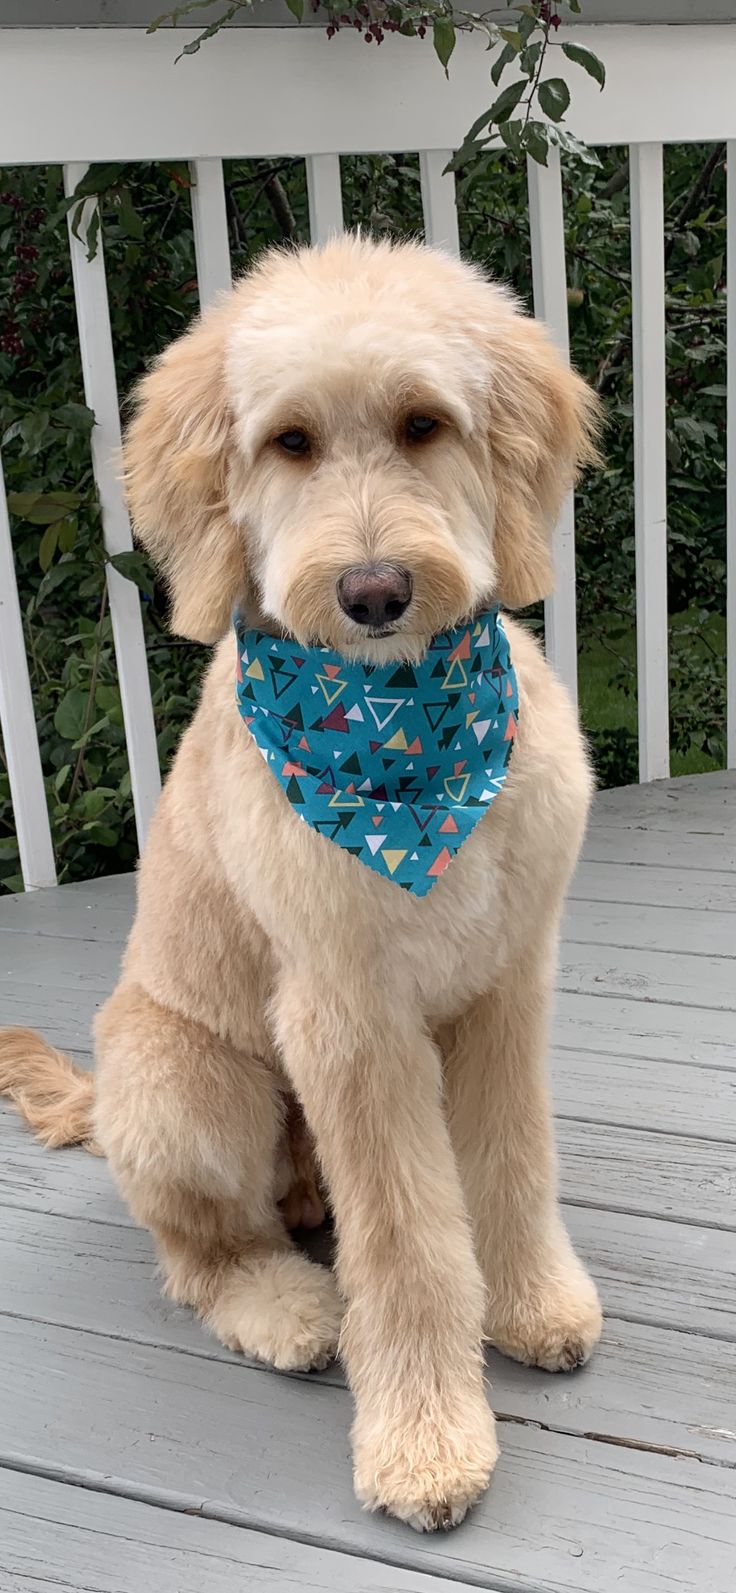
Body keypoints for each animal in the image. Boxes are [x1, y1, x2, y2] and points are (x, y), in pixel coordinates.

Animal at [1, 232, 602, 1529]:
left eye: (424, 423)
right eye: (289, 443)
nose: (374, 591)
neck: (400, 740)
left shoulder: (506, 985)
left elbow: (513, 1161)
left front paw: (533, 1305)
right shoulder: (351, 1022)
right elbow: (410, 1243)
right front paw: (426, 1442)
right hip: (188, 1082)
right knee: (198, 1250)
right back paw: (283, 1306)